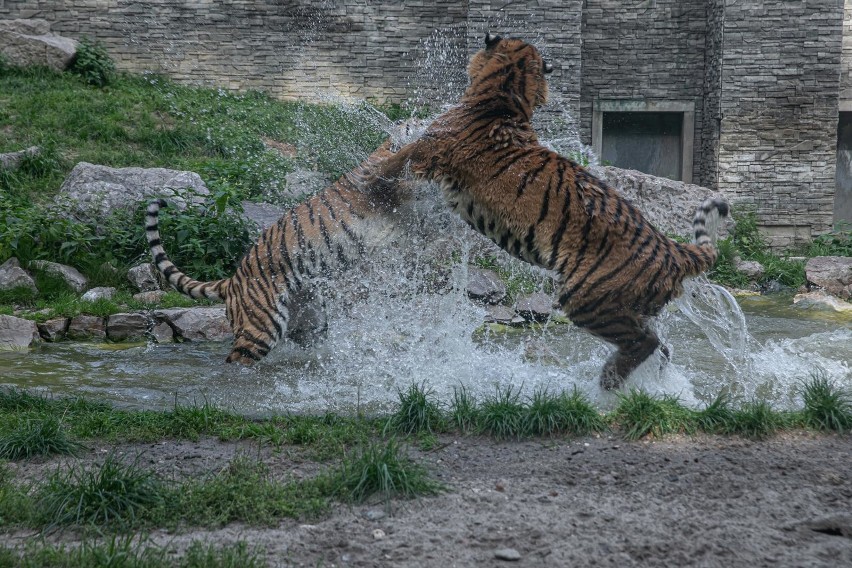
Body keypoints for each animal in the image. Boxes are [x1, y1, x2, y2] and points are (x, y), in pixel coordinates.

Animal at [149, 122, 426, 366]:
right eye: (414, 121)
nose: (421, 119)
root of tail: (232, 281)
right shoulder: (380, 177)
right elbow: (405, 156)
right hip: (259, 327)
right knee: (236, 359)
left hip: (310, 319)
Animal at [376, 34, 728, 390]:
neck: (506, 94)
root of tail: (673, 249)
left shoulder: (424, 154)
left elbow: (389, 163)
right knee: (661, 348)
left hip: (588, 298)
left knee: (645, 343)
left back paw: (607, 384)